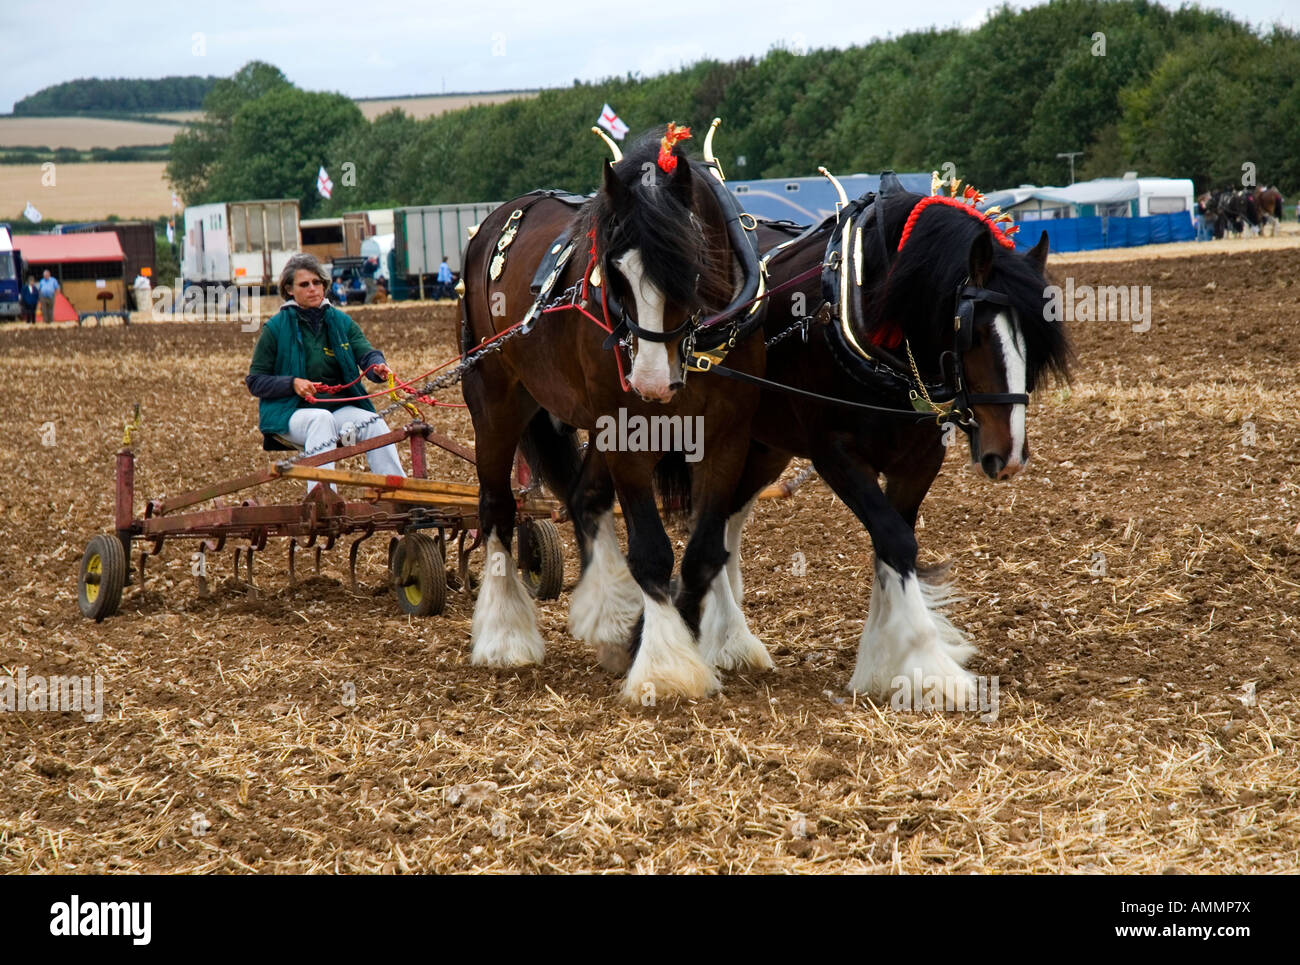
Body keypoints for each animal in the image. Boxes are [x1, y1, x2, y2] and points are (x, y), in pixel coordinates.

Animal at [458, 126, 768, 702]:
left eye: (690, 264)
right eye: (615, 273)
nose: (649, 381)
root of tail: (493, 223)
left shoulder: (727, 435)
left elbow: (705, 551)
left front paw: (688, 637)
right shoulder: (629, 432)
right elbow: (652, 552)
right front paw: (666, 666)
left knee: (585, 497)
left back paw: (610, 618)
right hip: (494, 396)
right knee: (497, 508)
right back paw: (504, 635)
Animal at [561, 176, 1073, 702]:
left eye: (1037, 337)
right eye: (974, 332)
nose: (1007, 457)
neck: (858, 310)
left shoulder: (918, 460)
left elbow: (893, 543)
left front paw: (887, 660)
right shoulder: (834, 454)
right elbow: (895, 540)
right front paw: (929, 665)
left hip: (760, 448)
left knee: (721, 525)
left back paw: (725, 638)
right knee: (620, 504)